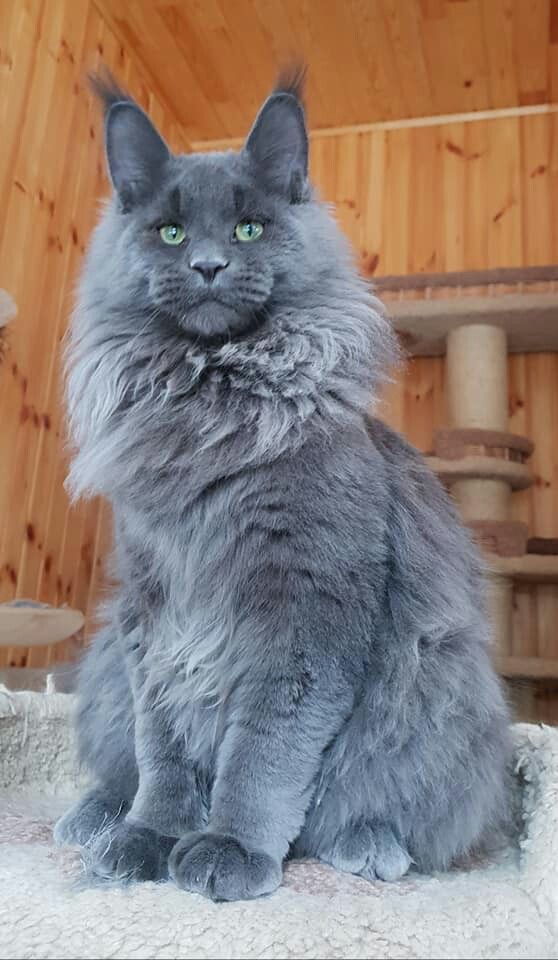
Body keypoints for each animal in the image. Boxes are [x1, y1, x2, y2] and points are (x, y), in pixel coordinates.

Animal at [54, 69, 516, 900]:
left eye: (248, 230)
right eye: (171, 233)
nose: (207, 265)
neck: (210, 409)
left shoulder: (305, 605)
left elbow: (264, 756)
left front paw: (229, 847)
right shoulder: (156, 614)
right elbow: (163, 748)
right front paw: (151, 836)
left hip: (435, 682)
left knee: (384, 812)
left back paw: (370, 847)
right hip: (107, 661)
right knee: (119, 764)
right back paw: (96, 818)